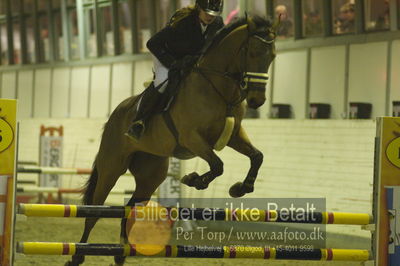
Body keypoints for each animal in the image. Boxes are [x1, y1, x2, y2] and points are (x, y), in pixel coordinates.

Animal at [66, 15, 278, 266]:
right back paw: (77, 256)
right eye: (252, 52)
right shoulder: (191, 138)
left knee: (130, 208)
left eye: (272, 56)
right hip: (111, 168)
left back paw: (120, 254)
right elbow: (218, 165)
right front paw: (194, 180)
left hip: (150, 175)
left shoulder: (234, 136)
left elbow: (257, 156)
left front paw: (240, 188)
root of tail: (116, 114)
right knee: (95, 211)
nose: (257, 100)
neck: (218, 87)